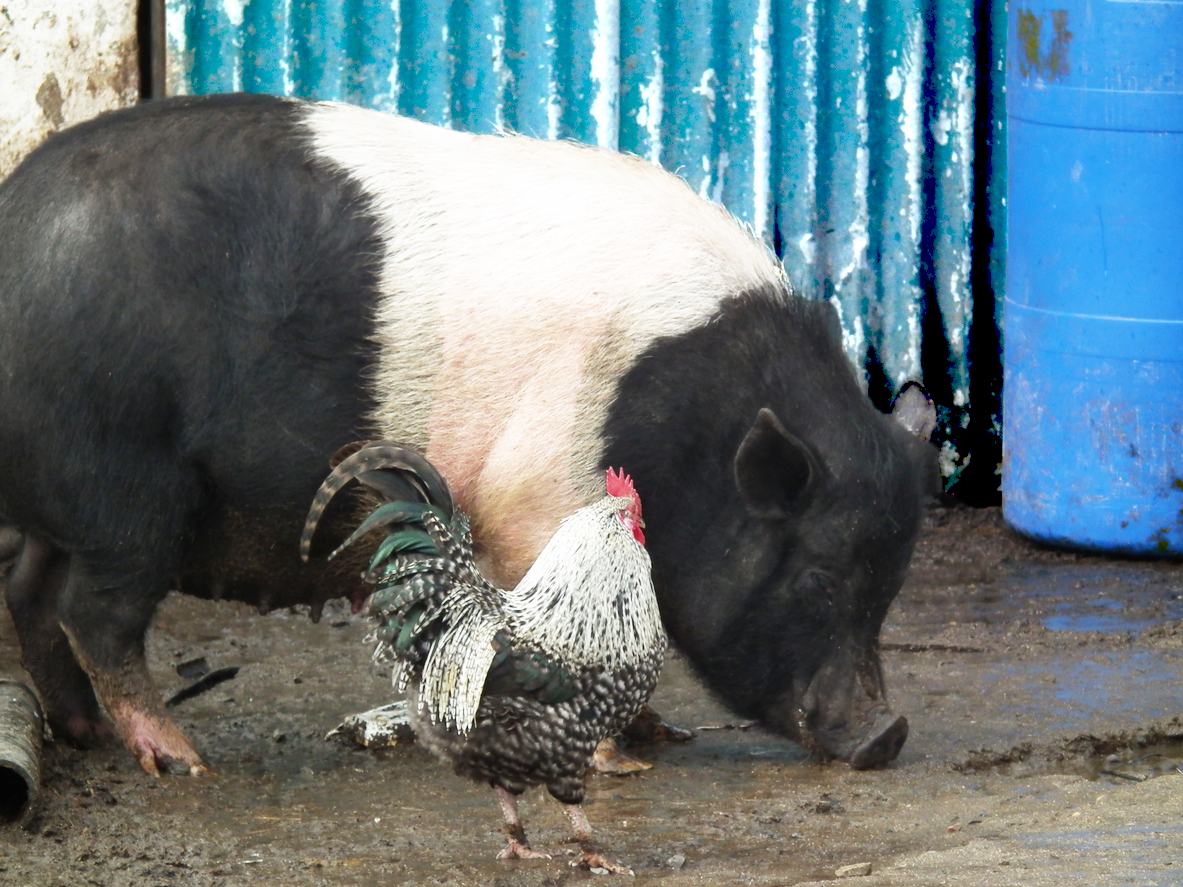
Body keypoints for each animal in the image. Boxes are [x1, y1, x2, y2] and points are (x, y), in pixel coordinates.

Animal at [0, 93, 935, 776]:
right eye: (816, 576)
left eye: (889, 587)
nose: (886, 732)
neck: (697, 431)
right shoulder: (543, 490)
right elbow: (590, 621)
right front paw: (618, 759)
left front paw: (653, 736)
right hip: (127, 487)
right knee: (93, 612)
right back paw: (180, 760)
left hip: (74, 501)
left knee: (31, 591)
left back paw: (84, 734)